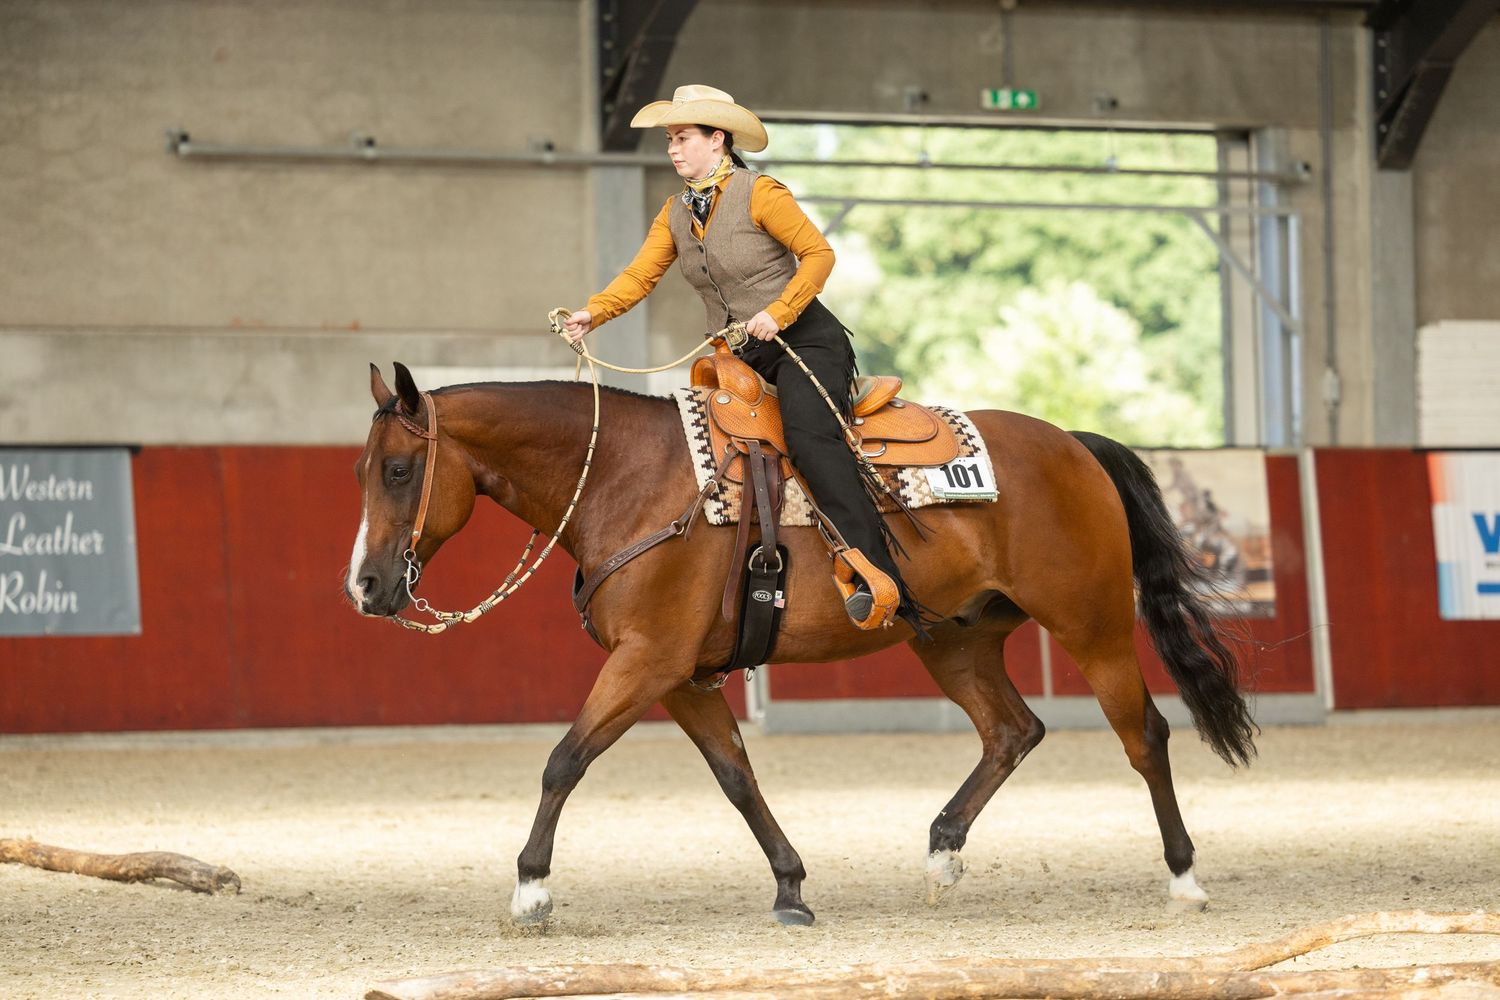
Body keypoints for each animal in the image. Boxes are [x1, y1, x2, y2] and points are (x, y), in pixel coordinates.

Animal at [346, 361, 1256, 927]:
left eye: (398, 470)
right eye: (362, 471)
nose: (366, 587)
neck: (628, 478)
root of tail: (1075, 443)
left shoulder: (647, 661)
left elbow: (564, 759)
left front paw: (532, 889)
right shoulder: (683, 677)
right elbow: (736, 779)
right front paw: (790, 886)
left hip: (1090, 623)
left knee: (1144, 735)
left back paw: (1184, 876)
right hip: (953, 639)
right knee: (1012, 730)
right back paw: (942, 853)